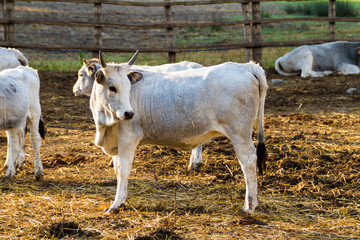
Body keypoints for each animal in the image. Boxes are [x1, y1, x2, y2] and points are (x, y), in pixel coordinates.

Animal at [89, 52, 268, 214]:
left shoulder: (128, 138)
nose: (129, 113)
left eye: (128, 87)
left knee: (248, 162)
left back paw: (249, 206)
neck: (105, 123)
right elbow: (117, 169)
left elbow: (124, 170)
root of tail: (246, 66)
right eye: (112, 88)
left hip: (240, 133)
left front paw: (116, 204)